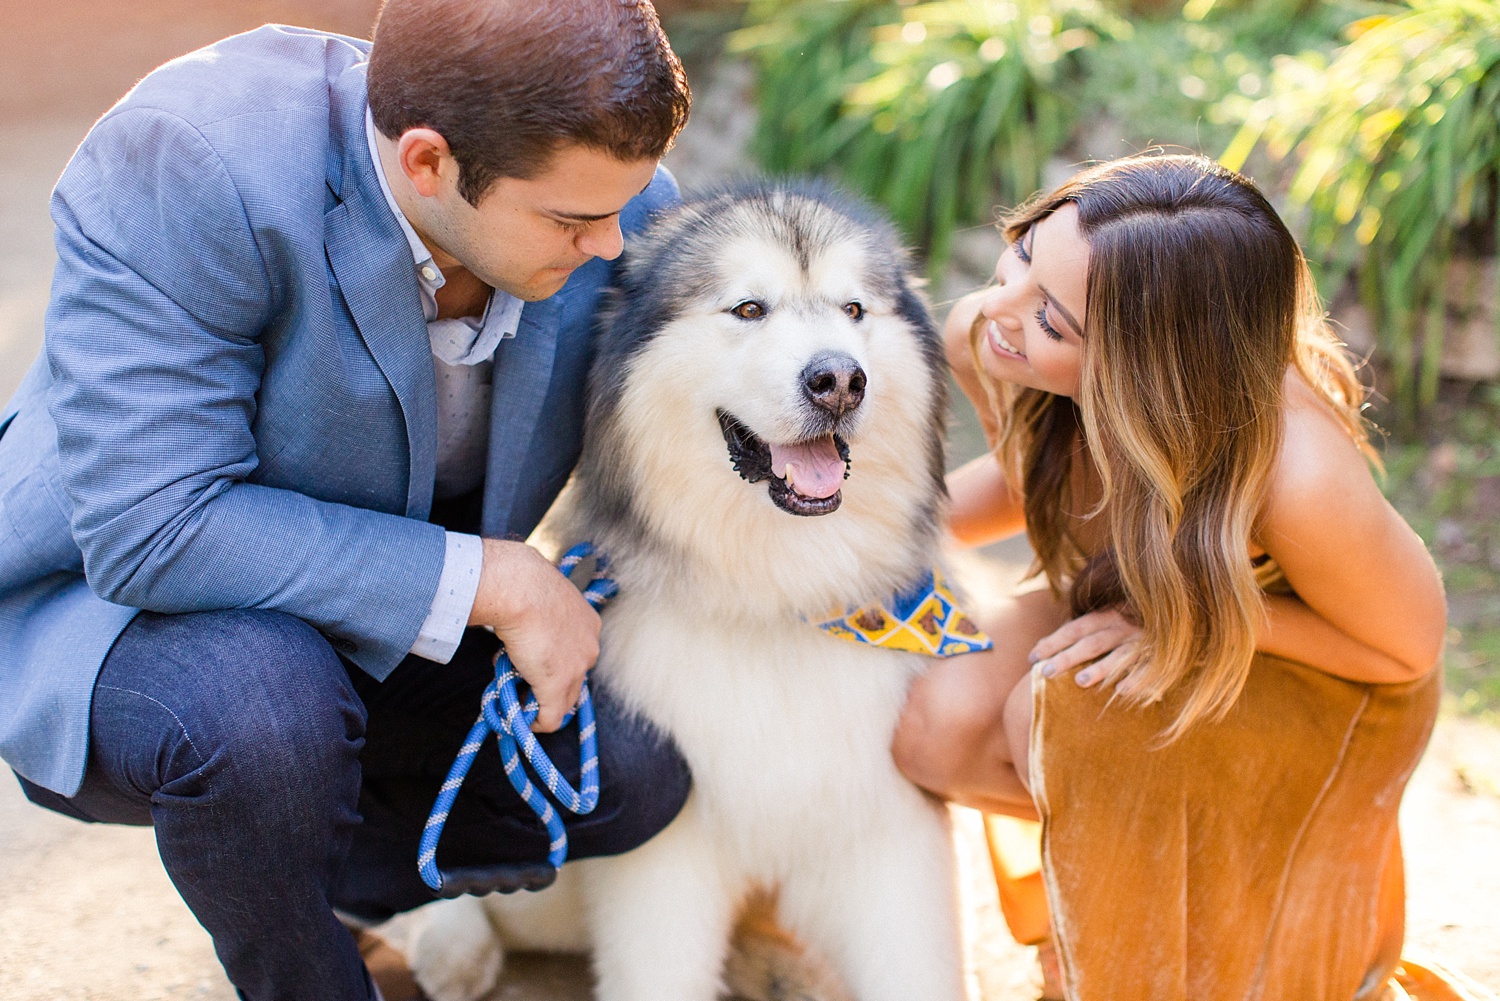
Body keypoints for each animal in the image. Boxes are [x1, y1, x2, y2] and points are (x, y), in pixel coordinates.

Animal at [405, 182, 966, 1001]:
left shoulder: (886, 838)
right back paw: (451, 946)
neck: (775, 597)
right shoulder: (664, 869)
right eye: (748, 309)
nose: (838, 380)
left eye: (854, 310)